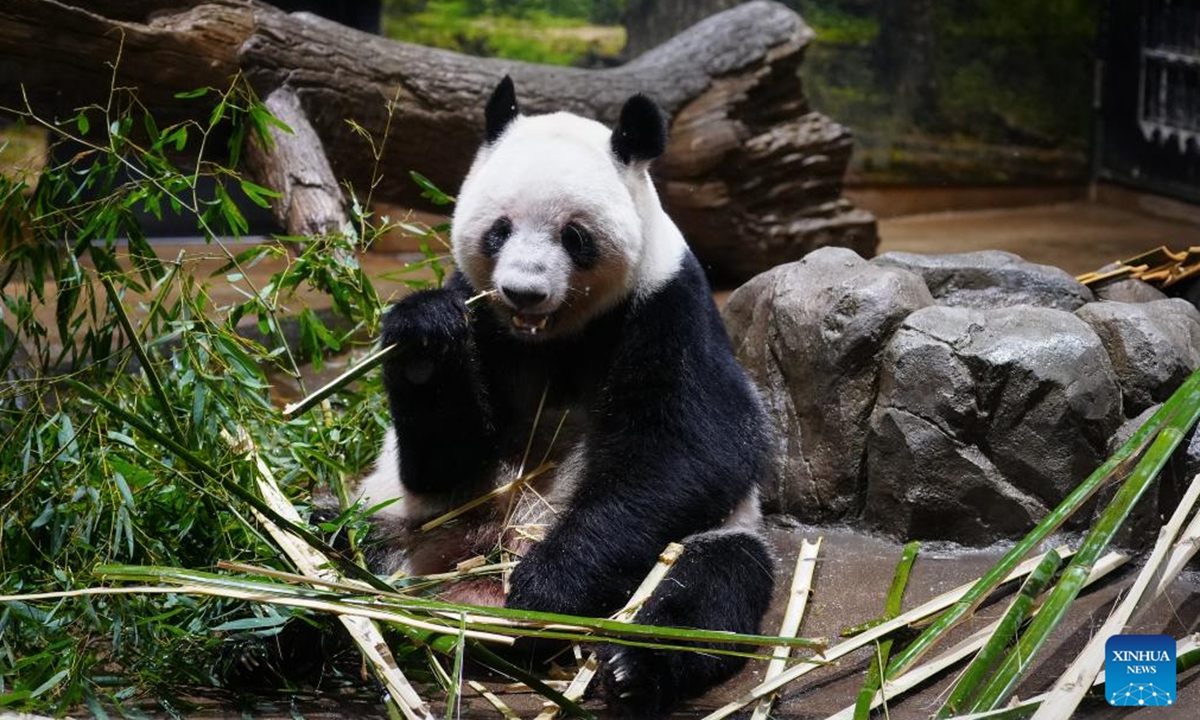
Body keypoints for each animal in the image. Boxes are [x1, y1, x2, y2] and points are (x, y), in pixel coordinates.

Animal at [356, 76, 775, 713]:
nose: (522, 292)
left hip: (711, 538)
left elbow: (692, 448)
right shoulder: (485, 324)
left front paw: (547, 587)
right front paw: (425, 337)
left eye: (574, 236)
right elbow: (446, 461)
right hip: (393, 524)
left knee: (711, 585)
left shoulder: (666, 307)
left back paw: (633, 667)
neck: (551, 337)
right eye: (498, 229)